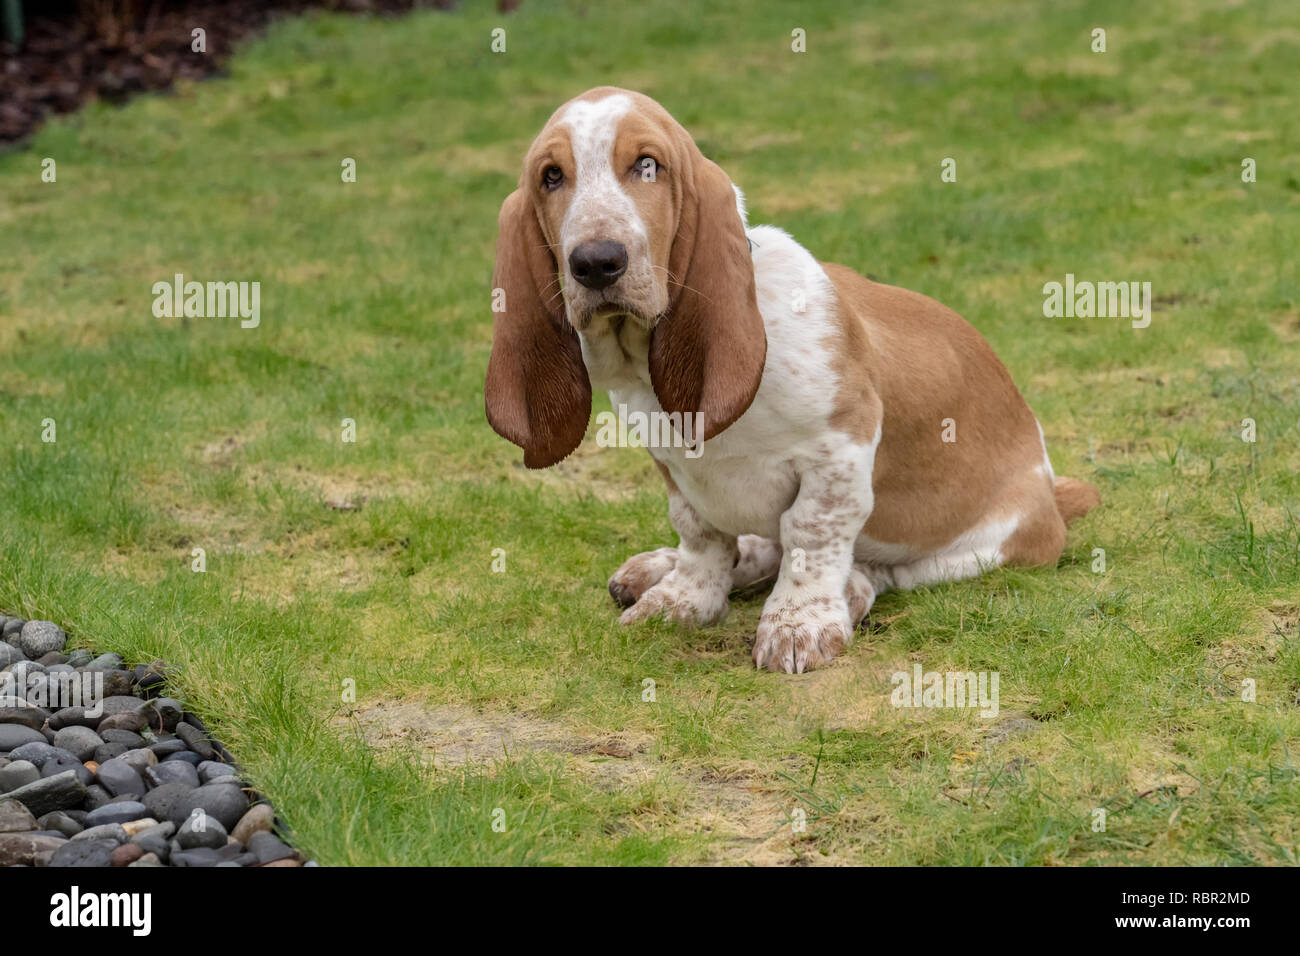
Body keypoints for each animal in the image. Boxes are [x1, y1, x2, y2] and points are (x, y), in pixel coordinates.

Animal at [486, 87, 1097, 671]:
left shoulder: (839, 447)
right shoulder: (672, 465)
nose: (596, 262)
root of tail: (1053, 493)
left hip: (979, 547)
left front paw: (797, 624)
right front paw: (681, 600)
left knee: (876, 570)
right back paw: (657, 568)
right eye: (551, 176)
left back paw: (847, 591)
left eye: (647, 165)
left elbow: (810, 534)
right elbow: (701, 533)